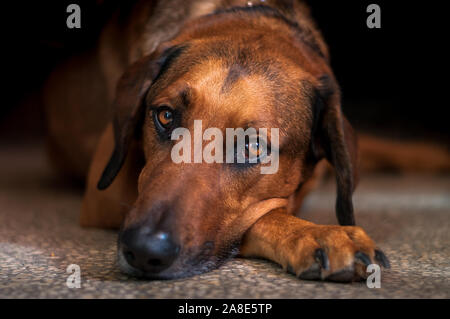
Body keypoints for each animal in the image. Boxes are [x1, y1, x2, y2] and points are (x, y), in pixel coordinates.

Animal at [44, 1, 390, 284]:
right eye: (165, 116)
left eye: (252, 146)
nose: (143, 250)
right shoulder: (104, 195)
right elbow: (264, 214)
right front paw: (317, 234)